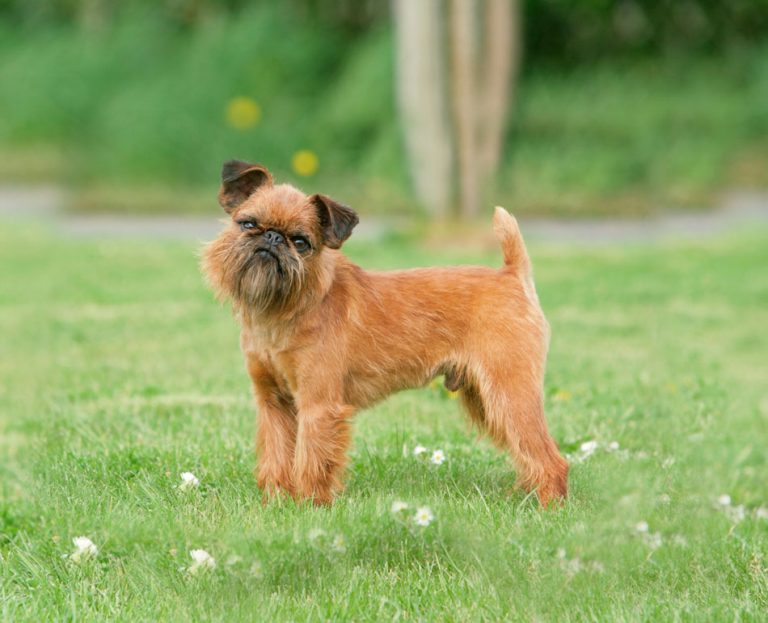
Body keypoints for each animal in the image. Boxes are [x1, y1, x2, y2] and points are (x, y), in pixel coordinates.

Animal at [201, 161, 568, 508]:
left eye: (302, 242)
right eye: (248, 224)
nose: (273, 238)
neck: (286, 308)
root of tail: (511, 275)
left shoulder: (318, 405)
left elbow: (312, 458)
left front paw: (309, 506)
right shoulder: (274, 404)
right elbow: (277, 457)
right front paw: (277, 502)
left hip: (509, 394)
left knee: (551, 458)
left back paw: (548, 507)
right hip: (486, 398)